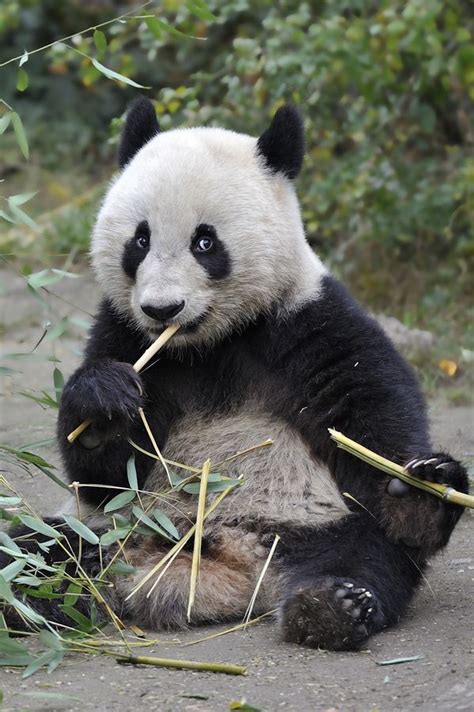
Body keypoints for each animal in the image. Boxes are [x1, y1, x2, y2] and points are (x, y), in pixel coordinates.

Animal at [1, 98, 468, 652]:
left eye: (205, 242)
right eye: (140, 239)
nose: (162, 309)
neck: (206, 343)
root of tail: (229, 569)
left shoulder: (307, 324)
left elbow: (370, 422)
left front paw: (417, 485)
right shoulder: (125, 334)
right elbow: (106, 479)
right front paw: (101, 405)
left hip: (308, 525)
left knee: (372, 552)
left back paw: (335, 602)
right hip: (111, 530)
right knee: (39, 544)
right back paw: (30, 595)